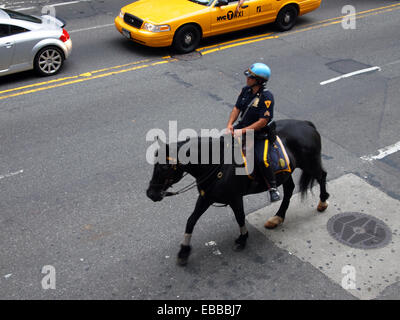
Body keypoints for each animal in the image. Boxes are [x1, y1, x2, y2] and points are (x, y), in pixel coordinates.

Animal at [146, 119, 328, 264]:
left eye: (164, 166)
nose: (151, 193)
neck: (216, 164)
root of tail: (306, 124)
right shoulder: (206, 197)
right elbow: (191, 220)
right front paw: (184, 251)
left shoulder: (235, 197)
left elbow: (240, 216)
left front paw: (242, 238)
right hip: (286, 173)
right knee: (289, 189)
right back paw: (277, 217)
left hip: (310, 164)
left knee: (322, 176)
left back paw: (323, 202)